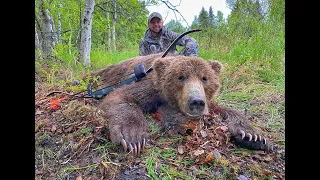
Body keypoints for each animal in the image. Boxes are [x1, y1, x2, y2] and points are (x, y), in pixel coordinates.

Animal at [96, 54, 272, 156]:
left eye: (204, 78)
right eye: (180, 77)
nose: (196, 101)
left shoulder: (208, 101)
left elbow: (225, 109)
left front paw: (253, 136)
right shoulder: (149, 86)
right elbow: (121, 96)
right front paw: (133, 137)